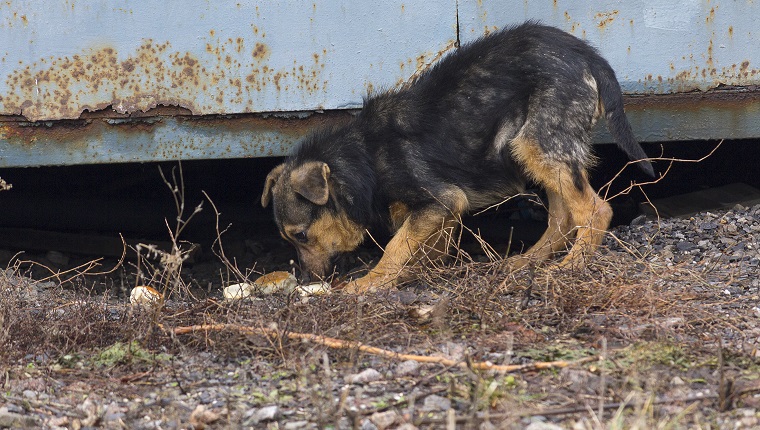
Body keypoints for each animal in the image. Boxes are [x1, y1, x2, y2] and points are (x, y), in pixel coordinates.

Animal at [262, 22, 652, 292]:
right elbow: (428, 245)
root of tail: (588, 55)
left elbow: (397, 245)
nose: (305, 280)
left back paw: (570, 266)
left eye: (300, 235)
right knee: (562, 215)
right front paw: (421, 272)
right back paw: (527, 261)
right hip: (538, 150)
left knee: (595, 210)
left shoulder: (442, 199)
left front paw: (372, 282)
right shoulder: (442, 209)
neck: (362, 159)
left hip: (539, 143)